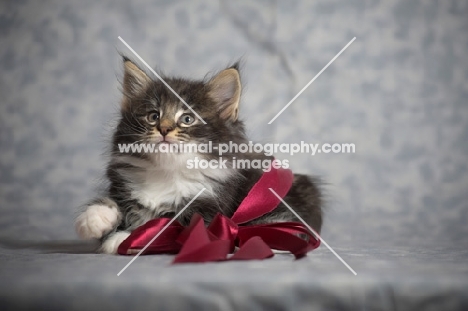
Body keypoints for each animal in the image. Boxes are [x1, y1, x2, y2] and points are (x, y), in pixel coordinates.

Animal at [75, 57, 322, 255]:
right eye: (153, 116)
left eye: (187, 119)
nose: (164, 129)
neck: (166, 174)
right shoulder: (121, 184)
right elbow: (115, 203)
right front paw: (97, 217)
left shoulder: (208, 211)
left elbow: (166, 226)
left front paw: (126, 238)